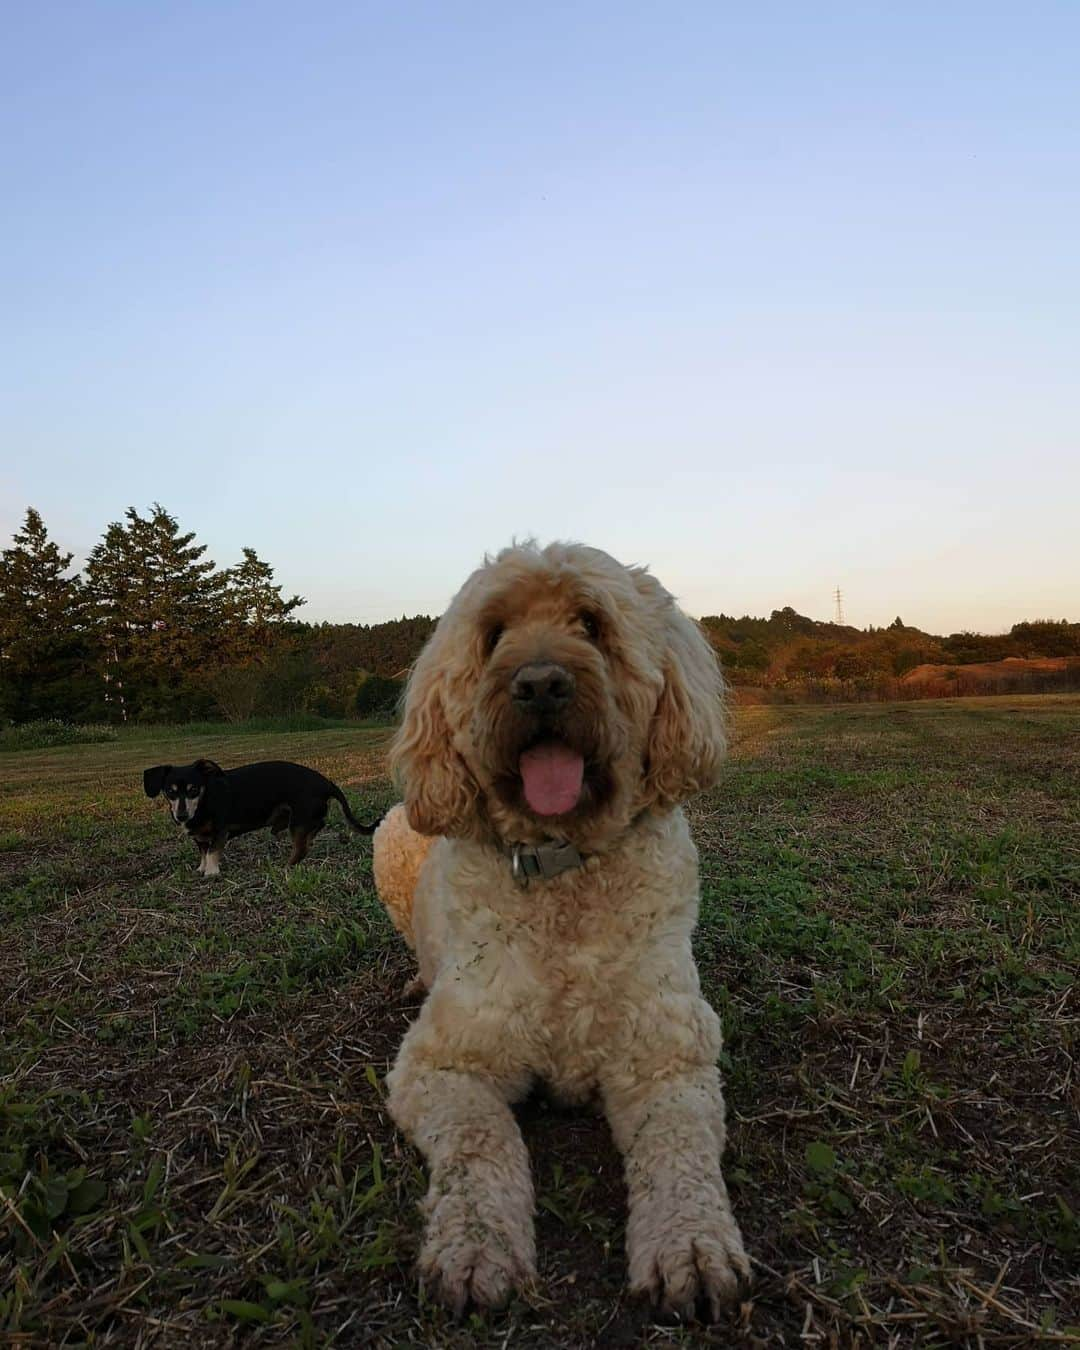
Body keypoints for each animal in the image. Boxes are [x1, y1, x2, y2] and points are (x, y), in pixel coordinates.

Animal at [143, 761, 380, 874]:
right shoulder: (200, 837)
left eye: (193, 789)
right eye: (170, 791)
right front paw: (202, 868)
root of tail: (326, 782)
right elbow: (203, 852)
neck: (204, 800)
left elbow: (212, 852)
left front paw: (211, 872)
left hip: (297, 819)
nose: (181, 816)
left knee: (301, 847)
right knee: (316, 826)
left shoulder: (220, 831)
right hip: (291, 820)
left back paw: (287, 866)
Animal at [372, 537, 750, 1317]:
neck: (562, 865)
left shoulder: (668, 1059)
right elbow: (480, 1144)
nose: (540, 684)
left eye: (591, 623)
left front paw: (692, 1247)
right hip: (392, 831)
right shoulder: (442, 1064)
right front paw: (476, 1248)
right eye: (492, 634)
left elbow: (681, 1152)